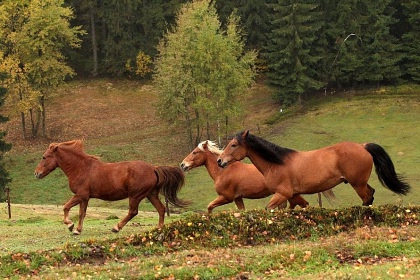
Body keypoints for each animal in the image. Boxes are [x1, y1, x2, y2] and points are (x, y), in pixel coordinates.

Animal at [34, 139, 189, 234]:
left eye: (44, 157)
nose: (36, 173)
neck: (81, 168)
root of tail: (153, 168)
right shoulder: (85, 198)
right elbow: (82, 213)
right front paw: (77, 229)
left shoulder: (81, 195)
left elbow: (66, 207)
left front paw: (70, 225)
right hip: (150, 194)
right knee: (161, 209)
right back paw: (158, 228)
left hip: (135, 195)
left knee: (133, 212)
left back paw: (116, 227)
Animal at [180, 140, 334, 212]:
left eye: (194, 152)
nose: (182, 165)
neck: (223, 171)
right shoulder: (238, 198)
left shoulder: (226, 197)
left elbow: (209, 207)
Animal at [218, 130, 412, 209]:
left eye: (234, 144)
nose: (220, 161)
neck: (276, 163)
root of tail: (363, 146)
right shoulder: (293, 195)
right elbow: (299, 207)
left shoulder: (282, 193)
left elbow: (269, 209)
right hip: (360, 182)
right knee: (371, 194)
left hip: (357, 183)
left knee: (367, 197)